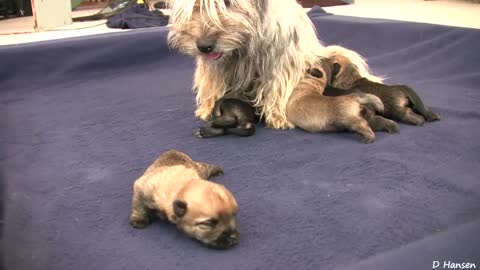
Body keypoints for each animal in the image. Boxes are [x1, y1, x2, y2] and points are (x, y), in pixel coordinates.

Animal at [168, 0, 382, 130]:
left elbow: (277, 87)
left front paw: (277, 116)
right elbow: (213, 85)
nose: (204, 46)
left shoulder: (280, 61)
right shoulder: (216, 66)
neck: (243, 44)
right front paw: (207, 107)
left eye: (228, 3)